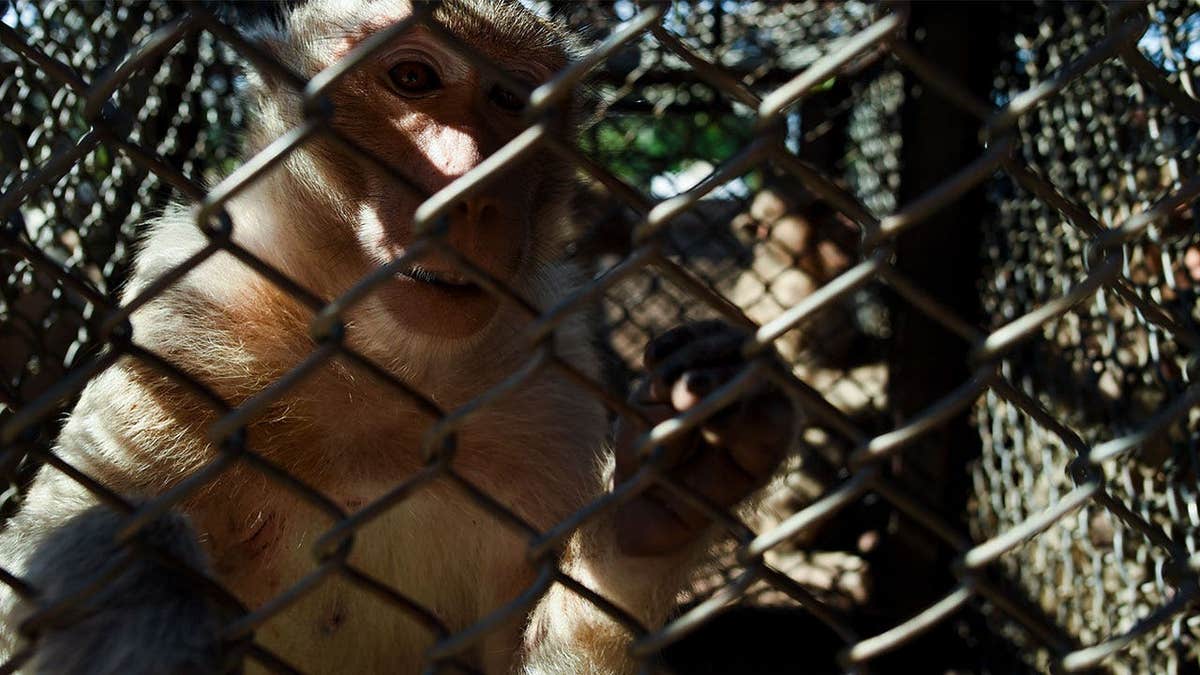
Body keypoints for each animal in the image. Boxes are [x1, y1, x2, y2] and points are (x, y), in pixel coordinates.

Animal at [0, 1, 798, 673]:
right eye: (412, 77)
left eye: (511, 102)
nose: (471, 187)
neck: (388, 368)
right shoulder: (185, 327)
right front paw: (141, 596)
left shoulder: (550, 381)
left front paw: (661, 496)